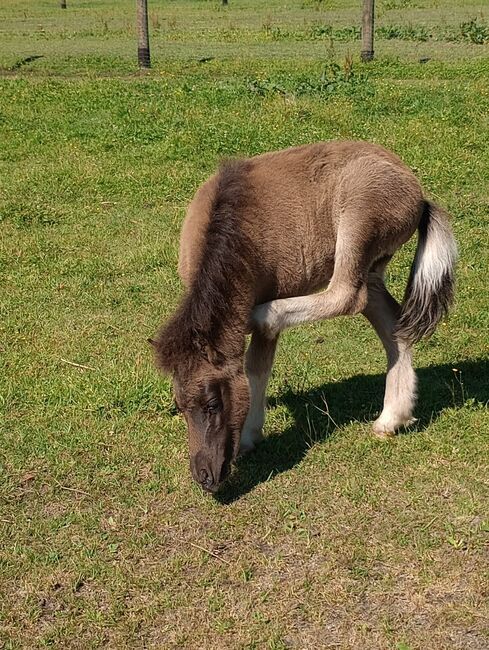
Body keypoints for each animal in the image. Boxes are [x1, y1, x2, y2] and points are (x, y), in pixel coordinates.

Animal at [151, 142, 456, 492]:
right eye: (179, 406)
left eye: (213, 403)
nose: (205, 477)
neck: (237, 226)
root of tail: (416, 192)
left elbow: (256, 368)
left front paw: (249, 436)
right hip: (371, 269)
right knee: (394, 324)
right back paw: (392, 417)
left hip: (356, 225)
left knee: (348, 295)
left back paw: (263, 315)